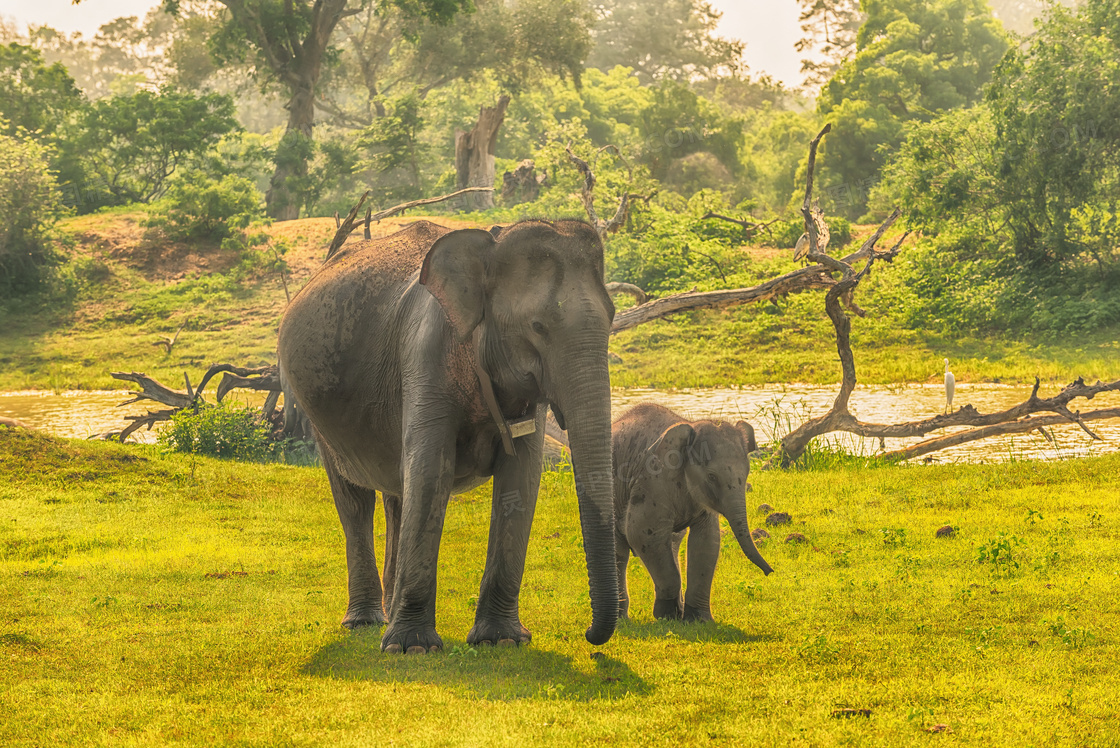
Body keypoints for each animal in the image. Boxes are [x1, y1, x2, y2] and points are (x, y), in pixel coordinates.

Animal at [275, 219, 618, 649]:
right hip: (317, 414)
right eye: (538, 326)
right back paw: (366, 622)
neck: (490, 245)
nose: (589, 634)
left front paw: (502, 640)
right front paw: (412, 648)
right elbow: (430, 470)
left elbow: (521, 478)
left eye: (612, 317)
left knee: (397, 494)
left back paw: (388, 611)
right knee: (355, 500)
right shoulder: (425, 353)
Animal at [613, 403, 770, 618]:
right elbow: (642, 533)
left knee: (672, 542)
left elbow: (707, 542)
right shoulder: (651, 480)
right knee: (620, 550)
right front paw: (667, 616)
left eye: (746, 473)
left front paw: (698, 619)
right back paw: (622, 618)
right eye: (712, 476)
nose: (770, 573)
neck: (691, 425)